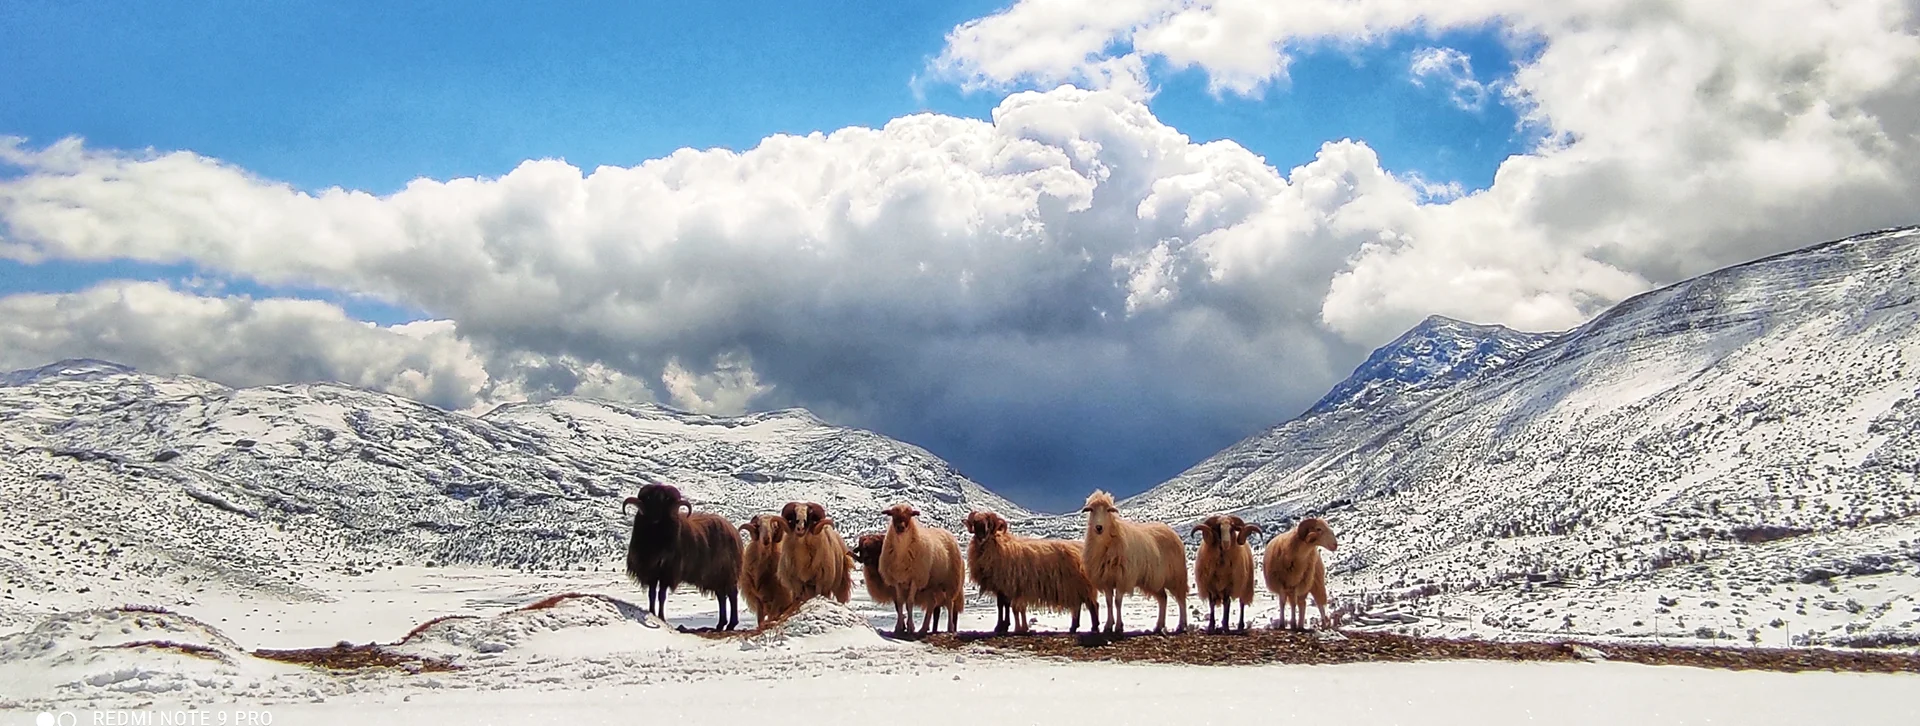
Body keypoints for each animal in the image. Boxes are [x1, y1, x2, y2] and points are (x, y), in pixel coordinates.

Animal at [622, 482, 742, 631]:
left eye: (666, 501)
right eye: (648, 499)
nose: (655, 519)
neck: (656, 537)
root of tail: (734, 531)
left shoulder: (667, 573)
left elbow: (662, 596)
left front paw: (661, 617)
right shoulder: (652, 573)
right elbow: (652, 595)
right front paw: (652, 613)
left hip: (726, 573)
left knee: (732, 595)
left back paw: (731, 624)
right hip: (716, 577)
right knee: (721, 597)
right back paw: (720, 625)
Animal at [877, 503, 965, 637]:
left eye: (909, 515)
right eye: (893, 515)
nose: (900, 527)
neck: (902, 550)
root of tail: (946, 531)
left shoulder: (915, 578)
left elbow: (909, 602)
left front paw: (910, 627)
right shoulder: (897, 580)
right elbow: (900, 602)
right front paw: (899, 627)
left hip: (950, 581)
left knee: (950, 603)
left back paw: (950, 628)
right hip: (931, 585)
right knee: (932, 603)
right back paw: (923, 629)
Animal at [963, 510, 1099, 634]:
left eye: (989, 523)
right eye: (975, 523)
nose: (981, 537)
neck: (998, 546)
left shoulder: (1006, 585)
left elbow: (1004, 605)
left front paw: (1001, 626)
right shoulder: (1002, 587)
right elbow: (1002, 606)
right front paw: (1003, 626)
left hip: (1081, 585)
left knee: (1092, 605)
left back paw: (1094, 628)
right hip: (1075, 587)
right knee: (1079, 606)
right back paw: (1073, 628)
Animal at [1079, 490, 1189, 634]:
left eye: (1108, 510)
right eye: (1091, 510)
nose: (1099, 527)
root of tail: (1171, 531)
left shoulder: (1122, 578)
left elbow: (1117, 602)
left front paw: (1119, 626)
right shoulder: (1107, 579)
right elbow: (1109, 602)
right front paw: (1108, 626)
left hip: (1176, 576)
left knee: (1181, 600)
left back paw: (1181, 625)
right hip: (1155, 580)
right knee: (1163, 599)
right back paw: (1158, 626)